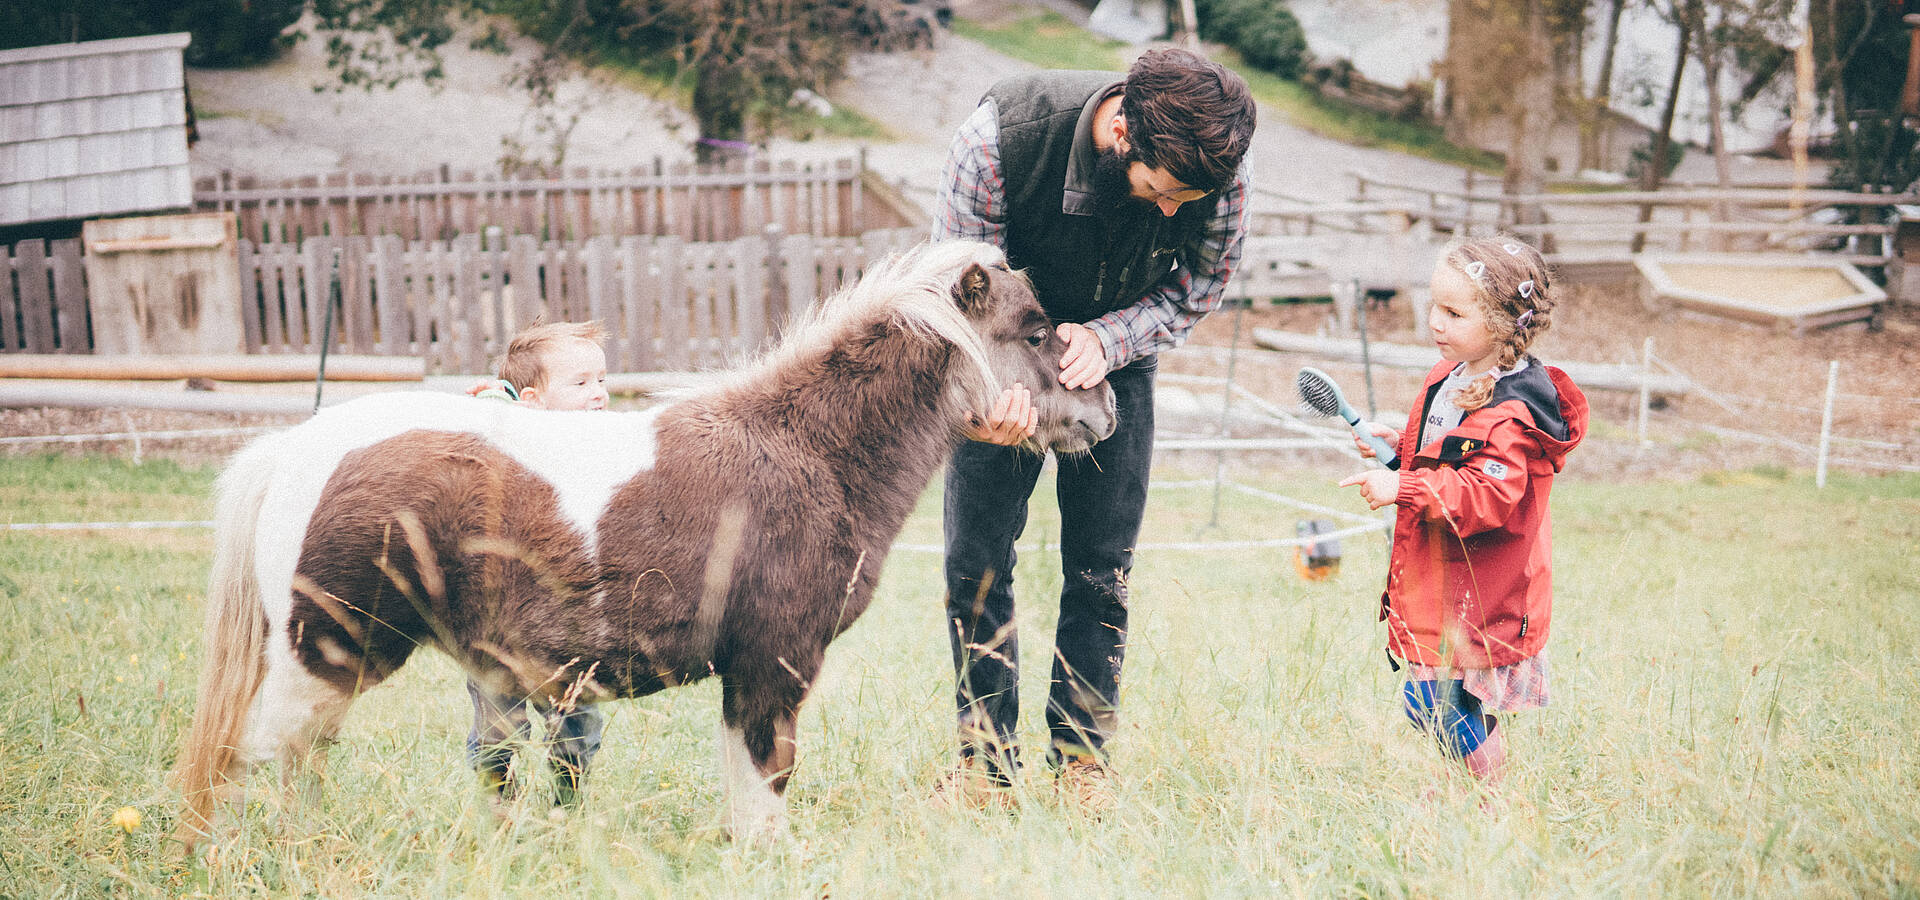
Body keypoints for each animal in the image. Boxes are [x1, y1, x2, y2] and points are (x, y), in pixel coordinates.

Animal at [178, 238, 1121, 840]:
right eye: (1035, 331)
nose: (1105, 409)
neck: (806, 450)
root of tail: (295, 451)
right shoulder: (773, 664)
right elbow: (765, 782)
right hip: (330, 654)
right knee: (267, 757)